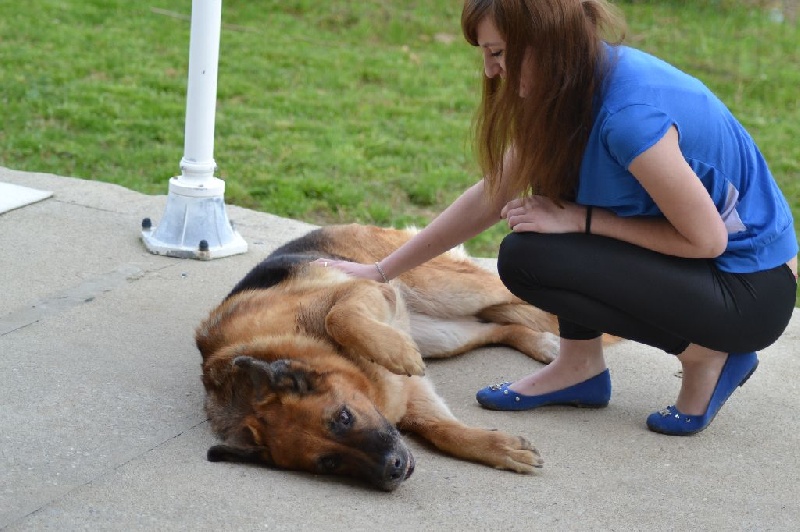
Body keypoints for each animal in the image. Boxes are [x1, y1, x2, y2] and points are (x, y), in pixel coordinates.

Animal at [195, 222, 564, 488]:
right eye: (328, 463)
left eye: (344, 418)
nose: (394, 470)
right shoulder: (408, 394)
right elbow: (441, 431)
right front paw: (498, 448)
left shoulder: (364, 288)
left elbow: (339, 317)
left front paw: (396, 353)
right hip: (441, 334)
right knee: (499, 326)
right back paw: (544, 346)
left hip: (447, 291)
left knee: (516, 301)